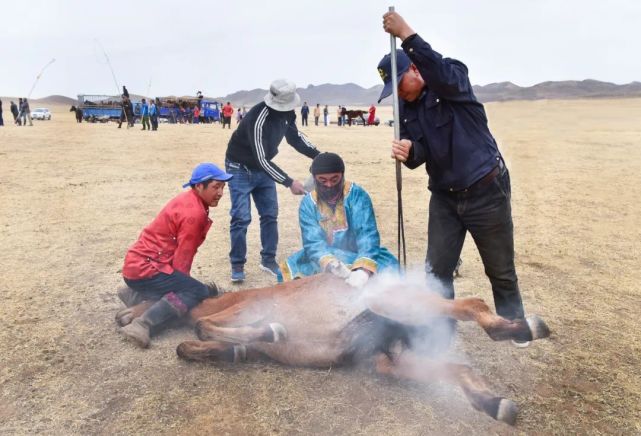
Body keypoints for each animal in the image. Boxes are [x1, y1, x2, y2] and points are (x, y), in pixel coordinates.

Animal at [116, 274, 552, 424]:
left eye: (143, 293)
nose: (122, 316)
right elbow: (192, 346)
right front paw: (234, 351)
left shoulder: (237, 313)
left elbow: (206, 326)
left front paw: (271, 330)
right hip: (389, 359)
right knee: (458, 371)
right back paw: (495, 404)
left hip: (395, 302)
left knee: (472, 304)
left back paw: (524, 327)